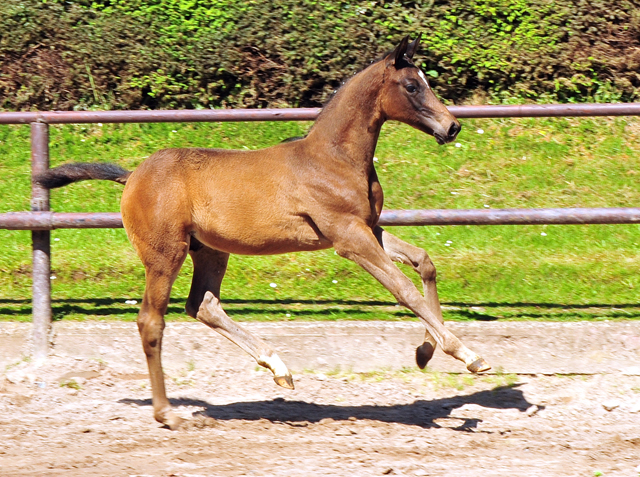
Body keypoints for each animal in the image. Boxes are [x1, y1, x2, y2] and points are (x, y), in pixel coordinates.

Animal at [38, 37, 490, 428]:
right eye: (412, 85)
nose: (452, 127)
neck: (333, 158)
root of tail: (133, 177)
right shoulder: (348, 238)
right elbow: (403, 289)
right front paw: (468, 354)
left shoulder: (368, 229)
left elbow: (424, 264)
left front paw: (426, 352)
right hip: (166, 255)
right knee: (152, 321)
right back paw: (167, 414)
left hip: (210, 250)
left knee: (203, 305)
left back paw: (279, 368)